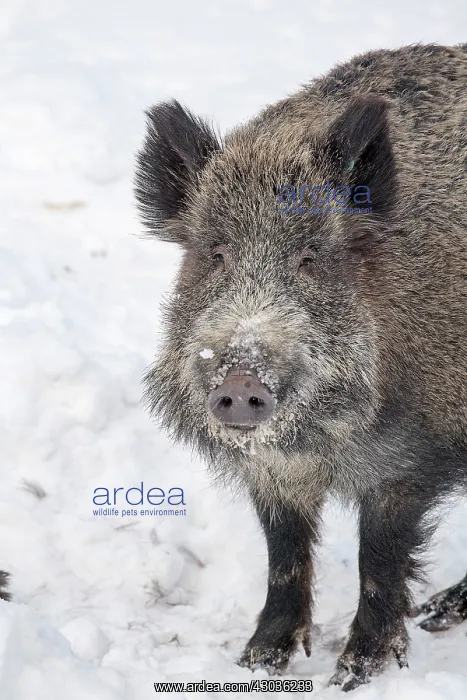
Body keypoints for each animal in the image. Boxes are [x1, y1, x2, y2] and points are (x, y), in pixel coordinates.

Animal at [135, 43, 467, 690]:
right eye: (216, 253)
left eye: (310, 257)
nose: (241, 380)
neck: (316, 439)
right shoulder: (274, 473)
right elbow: (284, 552)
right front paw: (256, 663)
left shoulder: (409, 460)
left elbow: (378, 557)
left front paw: (354, 676)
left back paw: (437, 615)